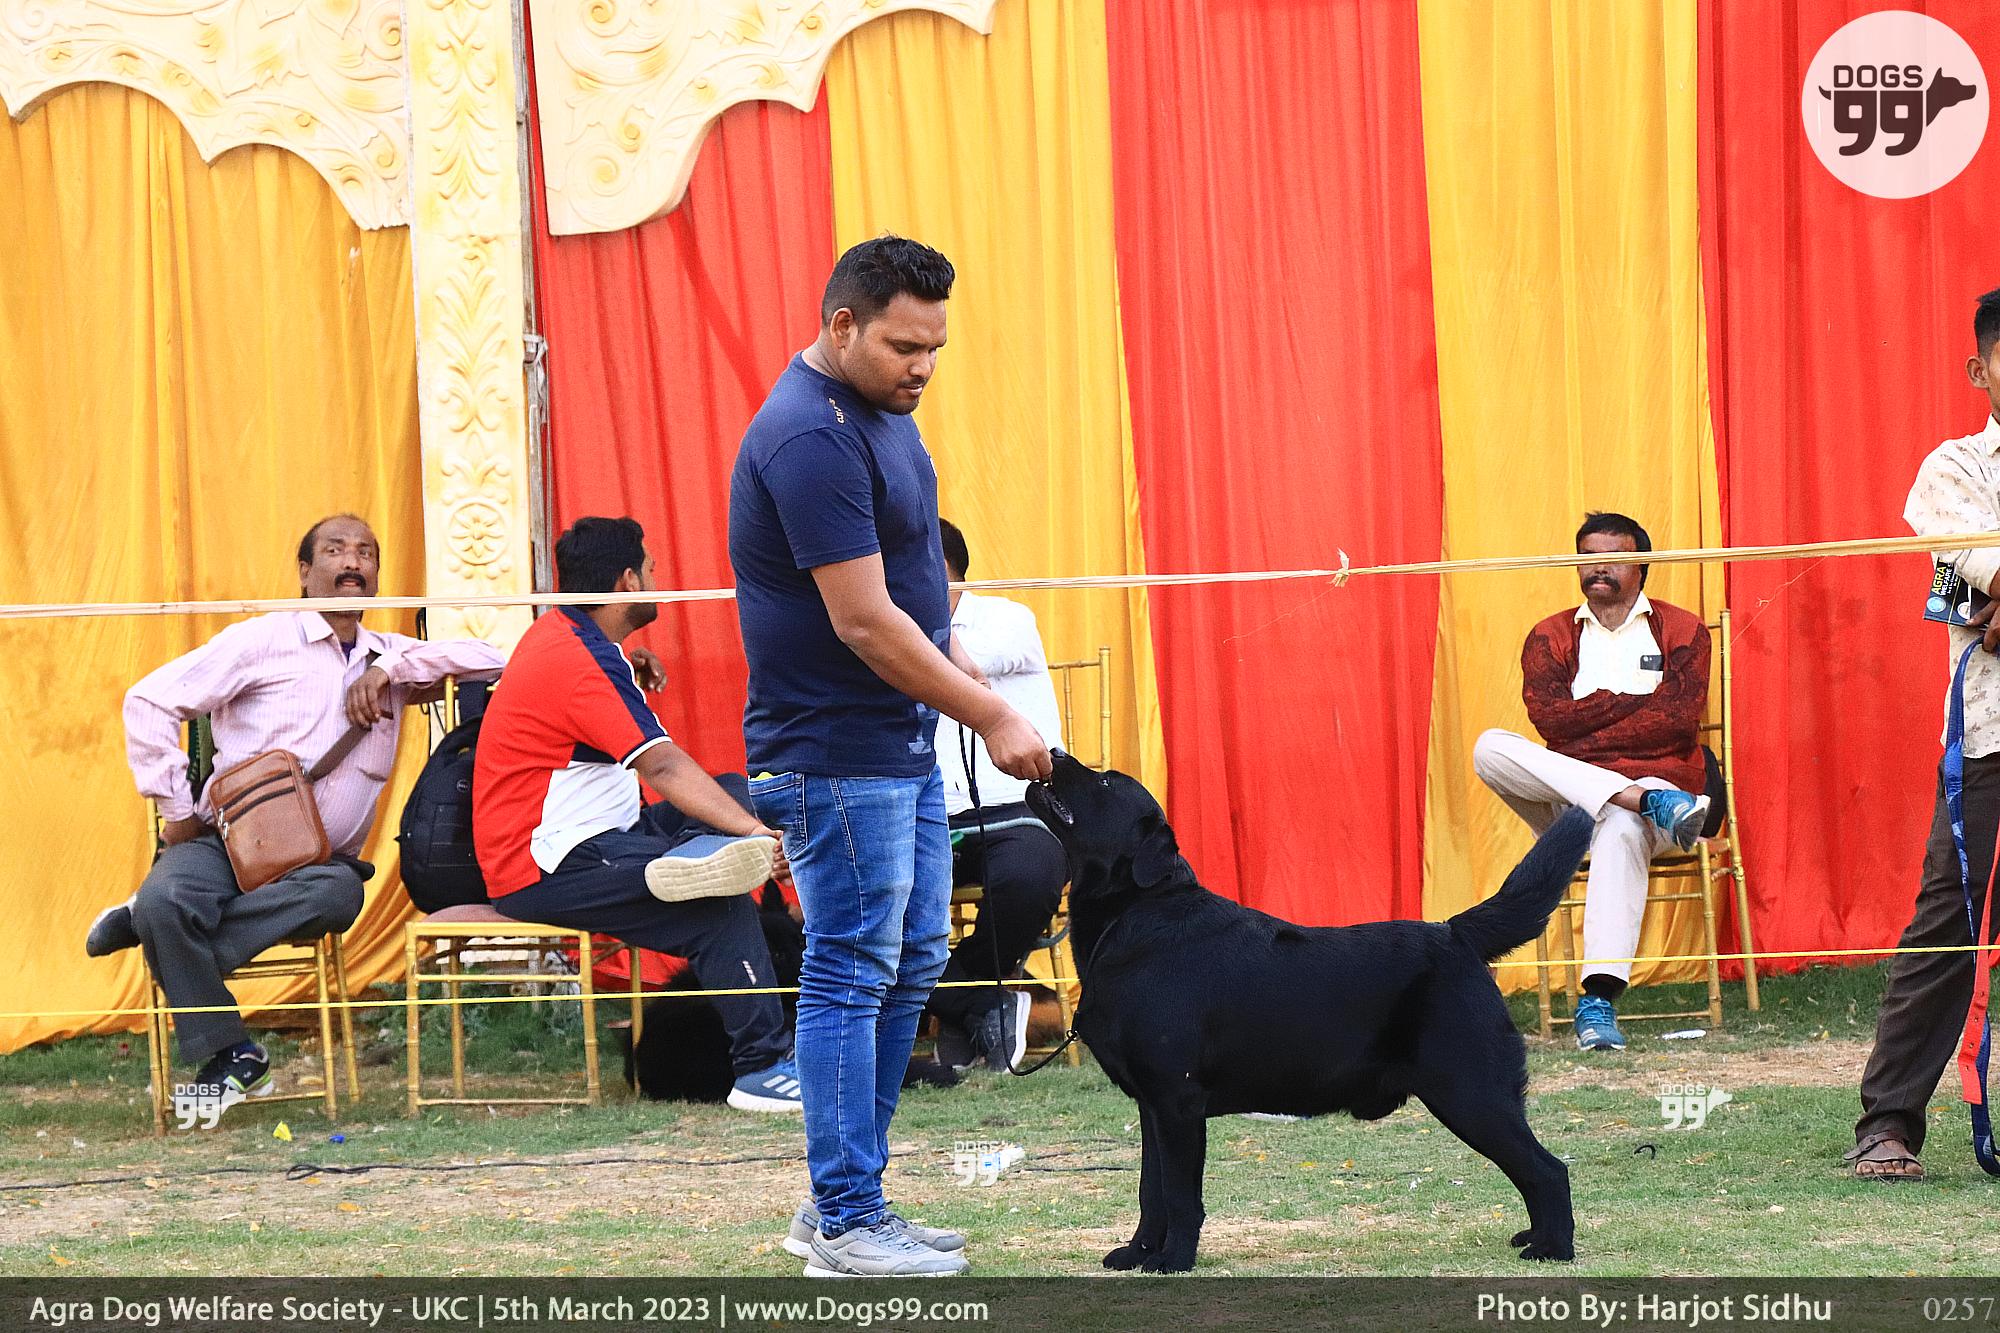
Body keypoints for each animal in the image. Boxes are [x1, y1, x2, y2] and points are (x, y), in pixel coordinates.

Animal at [1024, 750, 1592, 1272]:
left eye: (1104, 781)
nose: (1051, 752)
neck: (1132, 916)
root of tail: (1455, 933)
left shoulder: (1177, 1101)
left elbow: (1180, 1196)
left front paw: (1174, 1260)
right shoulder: (1151, 1105)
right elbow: (1150, 1191)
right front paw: (1139, 1252)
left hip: (1469, 1092)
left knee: (1549, 1170)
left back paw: (1552, 1248)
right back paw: (1534, 1237)